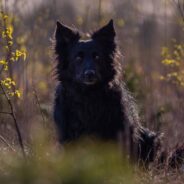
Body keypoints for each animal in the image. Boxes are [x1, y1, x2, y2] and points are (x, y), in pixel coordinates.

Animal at [53, 19, 161, 164]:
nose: (90, 74)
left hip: (150, 137)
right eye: (78, 58)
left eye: (97, 56)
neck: (88, 95)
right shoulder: (67, 135)